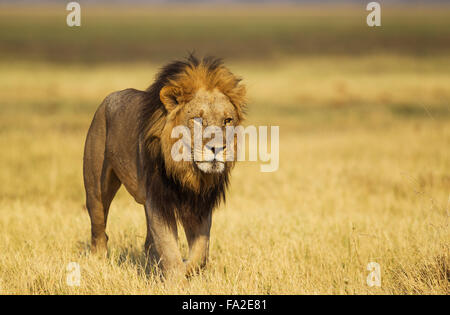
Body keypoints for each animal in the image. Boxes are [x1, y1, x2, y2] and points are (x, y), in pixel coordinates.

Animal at [83, 55, 246, 278]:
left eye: (227, 120)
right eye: (198, 119)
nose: (218, 148)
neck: (187, 171)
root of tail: (108, 99)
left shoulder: (199, 204)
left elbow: (200, 253)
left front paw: (185, 269)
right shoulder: (158, 201)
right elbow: (169, 248)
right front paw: (176, 278)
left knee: (148, 243)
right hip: (96, 189)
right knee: (98, 230)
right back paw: (97, 262)